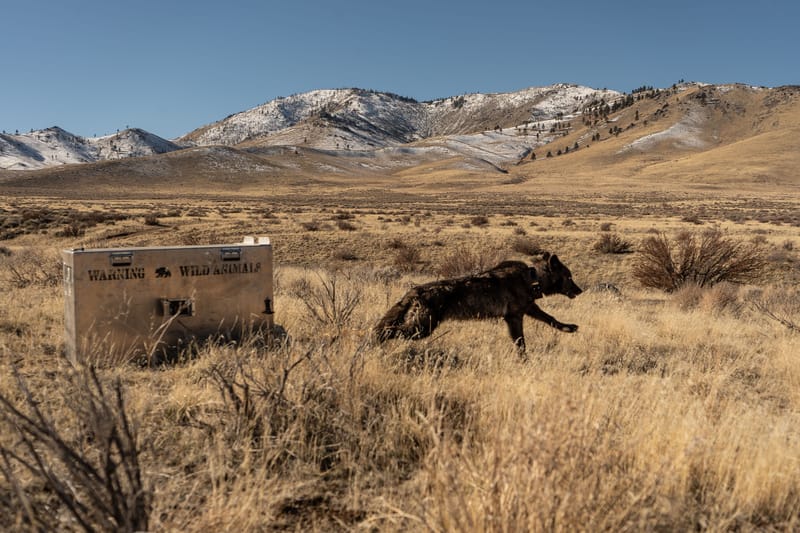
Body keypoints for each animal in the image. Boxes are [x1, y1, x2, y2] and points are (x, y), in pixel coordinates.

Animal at [373, 253, 582, 352]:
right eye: (569, 277)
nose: (580, 290)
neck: (532, 278)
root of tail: (414, 291)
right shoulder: (514, 318)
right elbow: (521, 344)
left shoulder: (528, 309)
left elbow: (551, 319)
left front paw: (568, 327)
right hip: (422, 328)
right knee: (386, 331)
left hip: (420, 327)